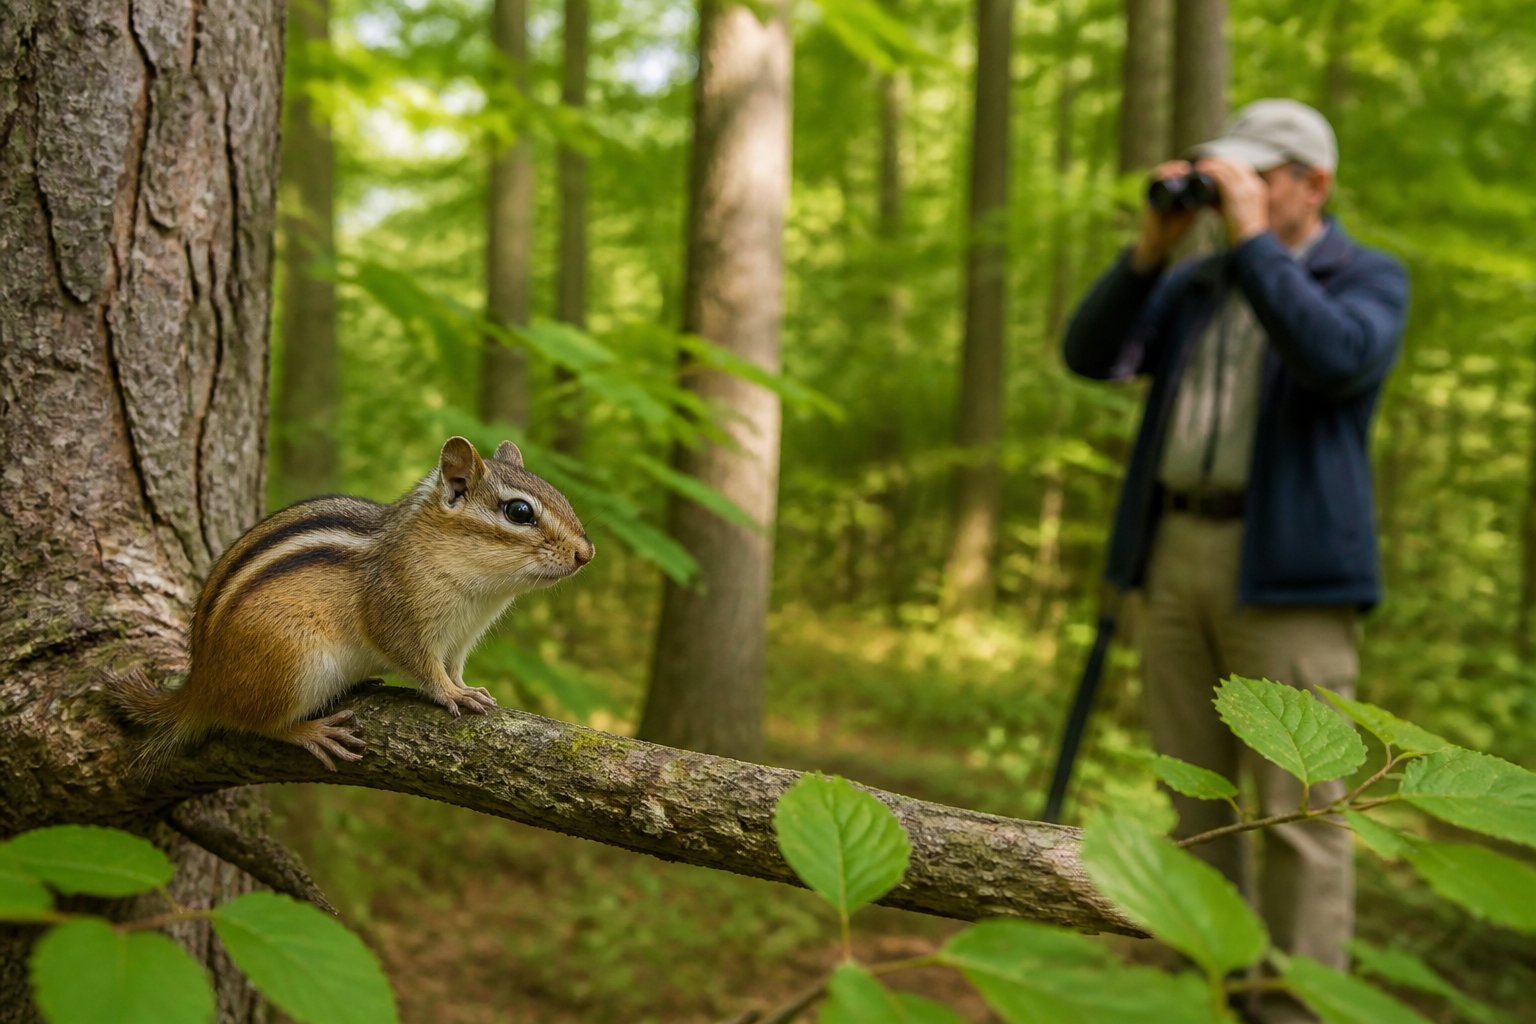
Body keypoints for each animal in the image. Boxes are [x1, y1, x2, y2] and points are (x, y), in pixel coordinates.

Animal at [113, 436, 593, 770]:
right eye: (519, 512)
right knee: (254, 723)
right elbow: (422, 665)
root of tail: (200, 686)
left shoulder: (461, 639)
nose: (586, 554)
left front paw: (467, 687)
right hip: (293, 662)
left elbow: (454, 666)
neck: (482, 592)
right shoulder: (396, 614)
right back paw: (311, 732)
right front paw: (450, 693)